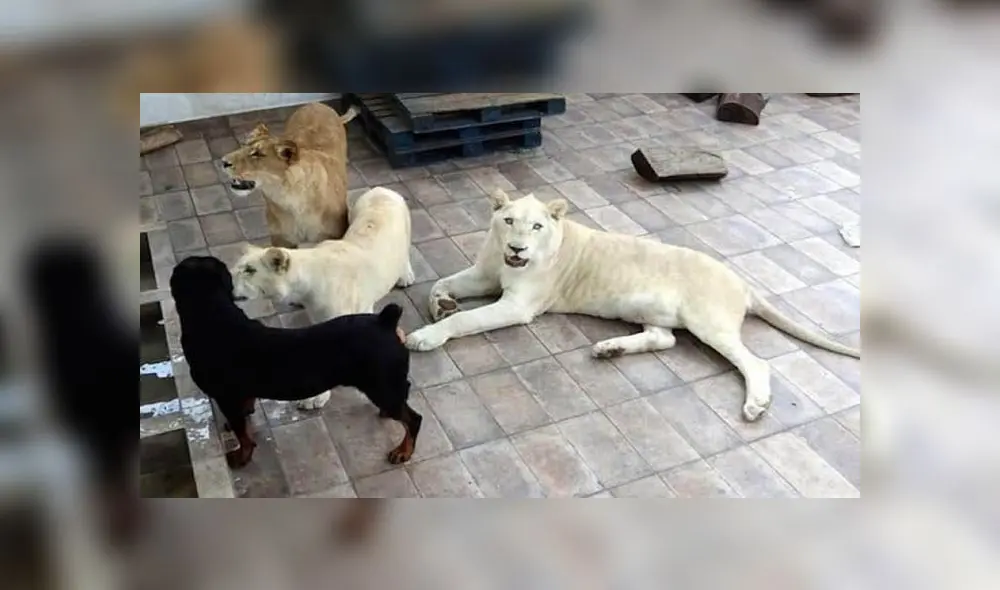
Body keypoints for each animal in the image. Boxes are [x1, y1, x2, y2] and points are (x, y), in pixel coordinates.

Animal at [221, 102, 358, 248]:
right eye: (242, 146)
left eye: (257, 154)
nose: (223, 161)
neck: (287, 197)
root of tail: (317, 103)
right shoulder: (282, 240)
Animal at [231, 187, 414, 409]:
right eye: (237, 268)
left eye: (249, 270)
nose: (229, 281)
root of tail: (383, 189)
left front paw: (315, 399)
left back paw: (406, 276)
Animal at [405, 189, 861, 422]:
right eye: (508, 221)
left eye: (536, 226)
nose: (518, 248)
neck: (504, 262)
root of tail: (745, 285)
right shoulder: (483, 275)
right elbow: (440, 284)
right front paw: (441, 304)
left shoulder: (517, 306)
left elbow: (466, 321)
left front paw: (427, 335)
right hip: (654, 314)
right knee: (664, 340)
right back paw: (610, 349)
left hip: (708, 322)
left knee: (755, 363)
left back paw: (756, 404)